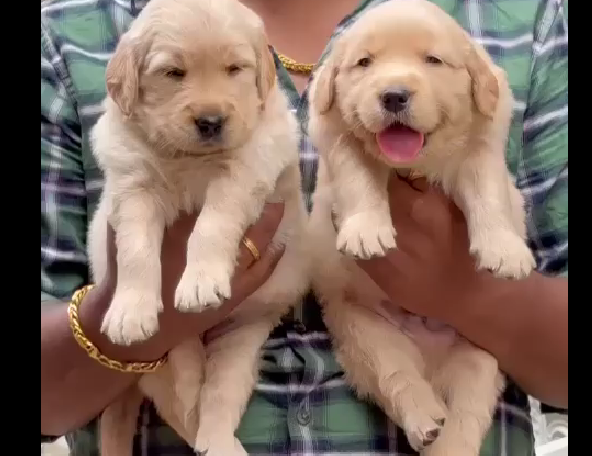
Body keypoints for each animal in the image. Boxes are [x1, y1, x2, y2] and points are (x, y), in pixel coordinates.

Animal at [88, 0, 312, 454]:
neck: (188, 159)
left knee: (218, 396)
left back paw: (222, 443)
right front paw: (129, 311)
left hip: (243, 334)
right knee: (184, 401)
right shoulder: (134, 183)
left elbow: (211, 224)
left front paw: (200, 281)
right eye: (174, 73)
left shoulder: (246, 170)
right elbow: (135, 248)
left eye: (235, 69)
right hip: (169, 353)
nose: (211, 121)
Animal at [308, 0, 536, 456]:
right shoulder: (337, 137)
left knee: (467, 414)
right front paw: (366, 230)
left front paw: (504, 250)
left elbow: (489, 193)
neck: (413, 165)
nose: (394, 95)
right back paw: (424, 418)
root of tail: (430, 363)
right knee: (396, 376)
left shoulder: (481, 148)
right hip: (363, 330)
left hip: (481, 354)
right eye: (364, 63)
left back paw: (447, 440)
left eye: (433, 61)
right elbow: (358, 178)